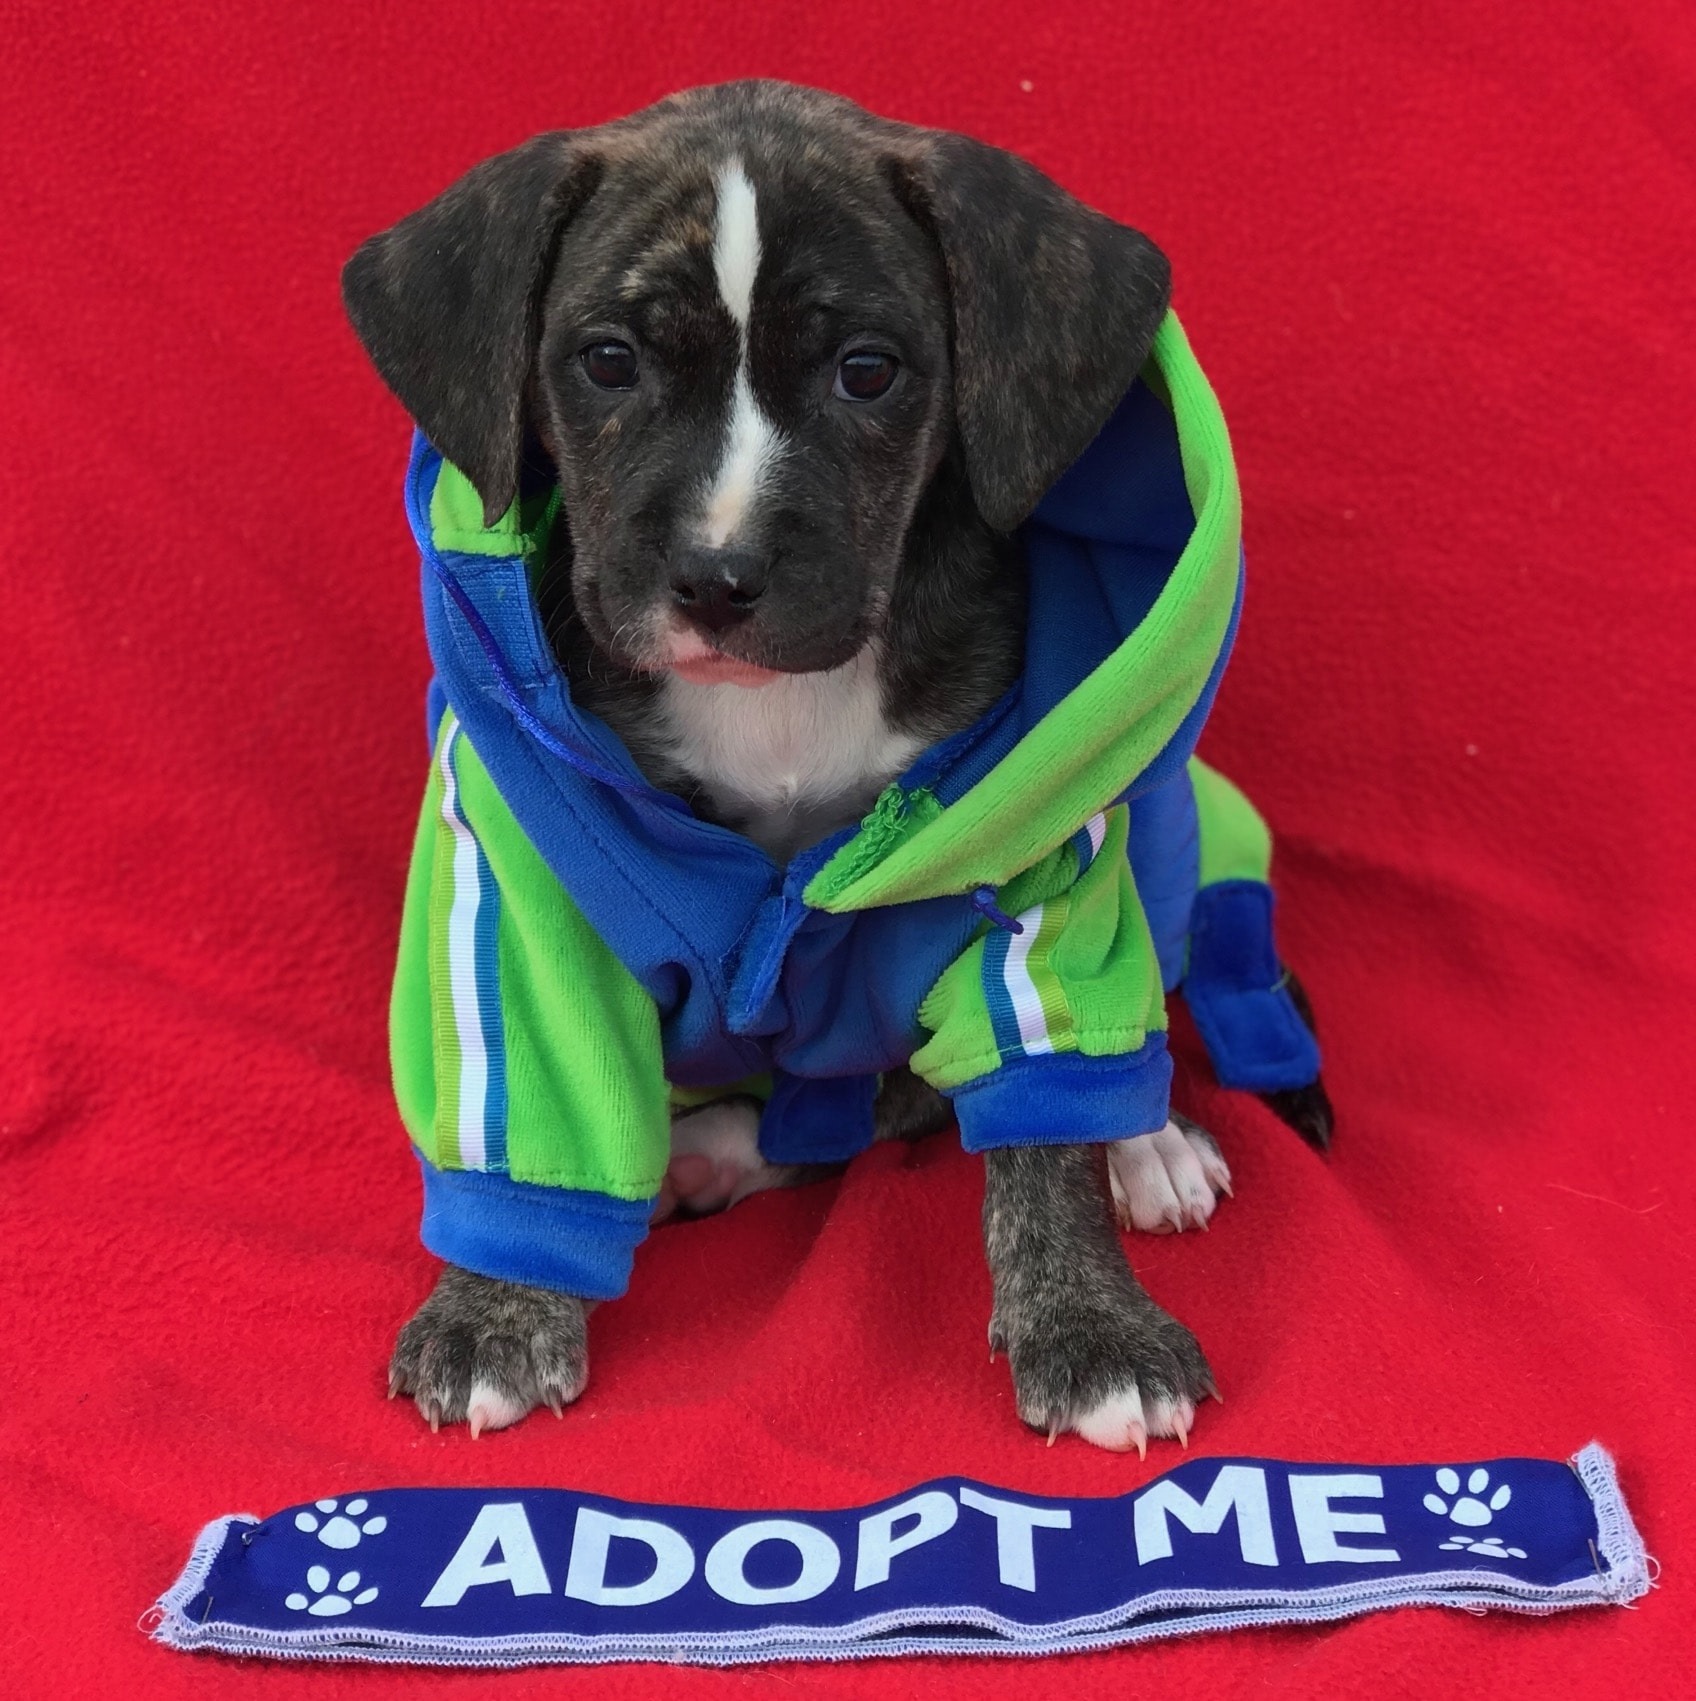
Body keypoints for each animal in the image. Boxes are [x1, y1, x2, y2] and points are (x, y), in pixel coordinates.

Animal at [340, 79, 1326, 1456]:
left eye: (869, 373)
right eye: (608, 360)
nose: (717, 578)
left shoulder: (1028, 871)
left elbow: (1045, 1123)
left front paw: (1091, 1325)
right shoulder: (528, 878)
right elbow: (532, 1101)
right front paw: (496, 1309)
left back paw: (1152, 1144)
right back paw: (710, 1151)